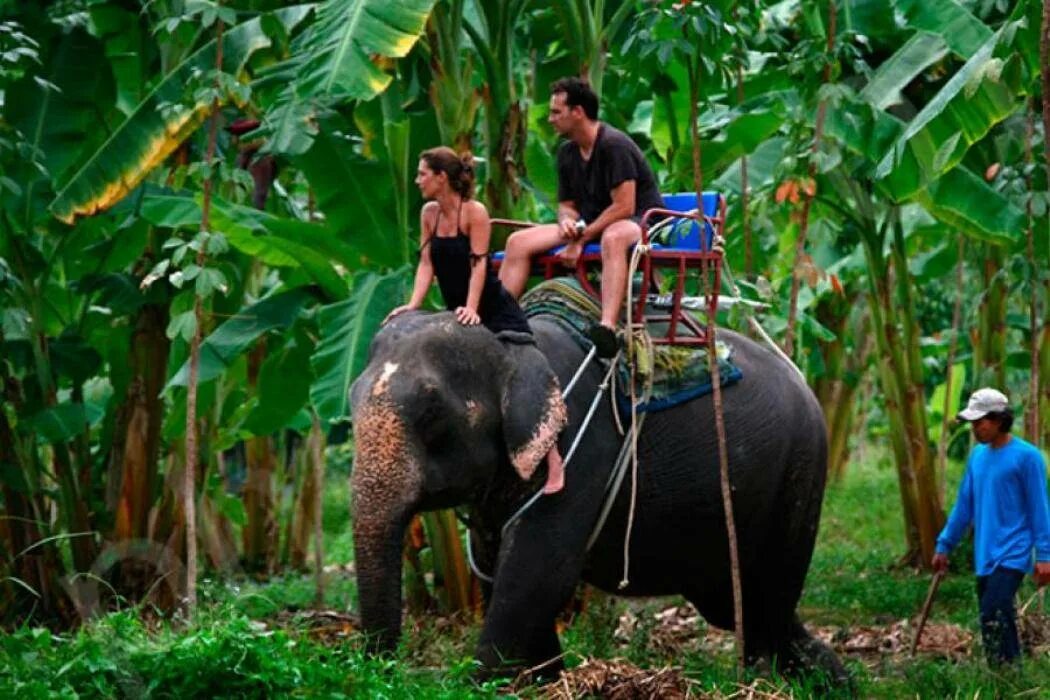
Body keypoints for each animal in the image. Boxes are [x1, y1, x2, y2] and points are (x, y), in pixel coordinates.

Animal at [348, 308, 848, 684]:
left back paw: (771, 679)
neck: (512, 342)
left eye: (432, 413)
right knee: (736, 604)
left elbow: (538, 569)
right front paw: (544, 681)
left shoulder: (580, 452)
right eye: (349, 401)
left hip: (801, 473)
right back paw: (832, 680)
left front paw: (479, 685)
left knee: (769, 599)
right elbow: (497, 567)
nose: (381, 671)